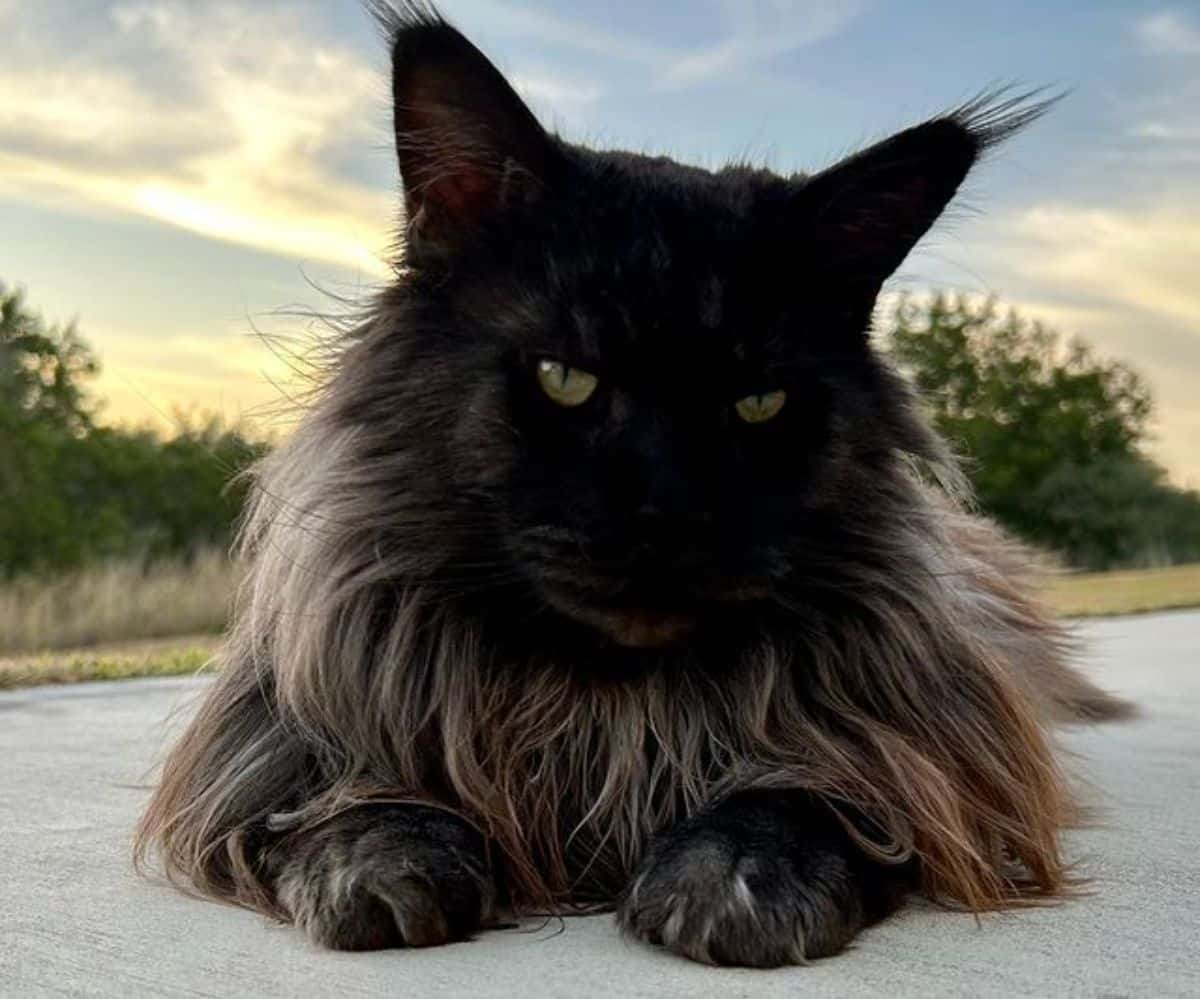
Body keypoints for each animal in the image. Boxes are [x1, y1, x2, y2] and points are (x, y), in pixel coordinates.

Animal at [136, 0, 1128, 970]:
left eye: (758, 401)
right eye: (565, 378)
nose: (669, 511)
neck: (604, 704)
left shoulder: (925, 755)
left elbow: (807, 790)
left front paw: (732, 881)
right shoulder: (286, 738)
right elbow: (345, 793)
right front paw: (379, 860)